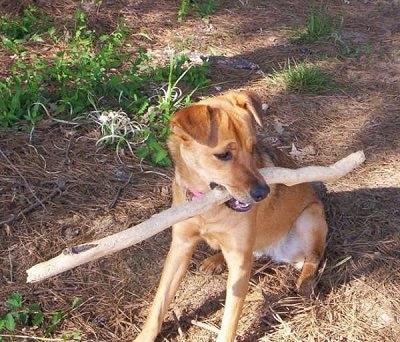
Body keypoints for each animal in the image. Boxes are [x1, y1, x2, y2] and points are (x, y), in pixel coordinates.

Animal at [135, 89, 328, 340]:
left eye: (253, 148)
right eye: (223, 155)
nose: (263, 193)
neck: (208, 207)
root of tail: (278, 253)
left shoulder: (239, 262)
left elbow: (229, 318)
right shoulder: (181, 246)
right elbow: (159, 301)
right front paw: (144, 335)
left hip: (310, 216)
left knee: (314, 257)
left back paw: (305, 280)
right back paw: (216, 260)